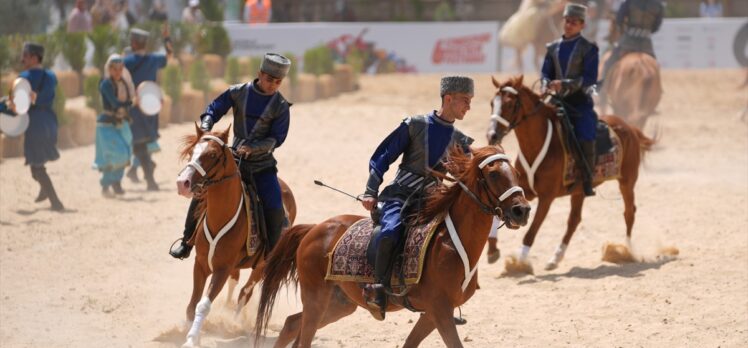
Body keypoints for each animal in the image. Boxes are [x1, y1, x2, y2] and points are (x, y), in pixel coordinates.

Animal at [175, 125, 296, 348]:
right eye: (192, 151)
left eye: (212, 155)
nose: (183, 183)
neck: (220, 217)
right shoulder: (201, 264)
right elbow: (193, 303)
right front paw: (186, 333)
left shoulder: (221, 269)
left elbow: (203, 304)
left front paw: (191, 339)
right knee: (236, 282)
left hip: (261, 266)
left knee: (245, 293)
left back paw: (235, 322)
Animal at [254, 145, 528, 346]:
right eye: (493, 174)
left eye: (516, 172)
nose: (522, 210)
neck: (450, 242)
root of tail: (314, 229)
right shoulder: (440, 309)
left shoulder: (431, 314)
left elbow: (410, 343)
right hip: (316, 300)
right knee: (302, 335)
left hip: (338, 305)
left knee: (291, 325)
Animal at [486, 76, 656, 272]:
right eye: (492, 103)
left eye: (510, 104)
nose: (492, 135)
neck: (538, 146)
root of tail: (629, 127)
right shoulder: (520, 192)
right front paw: (492, 250)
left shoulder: (546, 198)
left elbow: (532, 230)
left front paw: (519, 261)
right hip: (579, 191)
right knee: (574, 220)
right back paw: (556, 257)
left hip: (626, 182)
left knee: (629, 212)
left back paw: (627, 250)